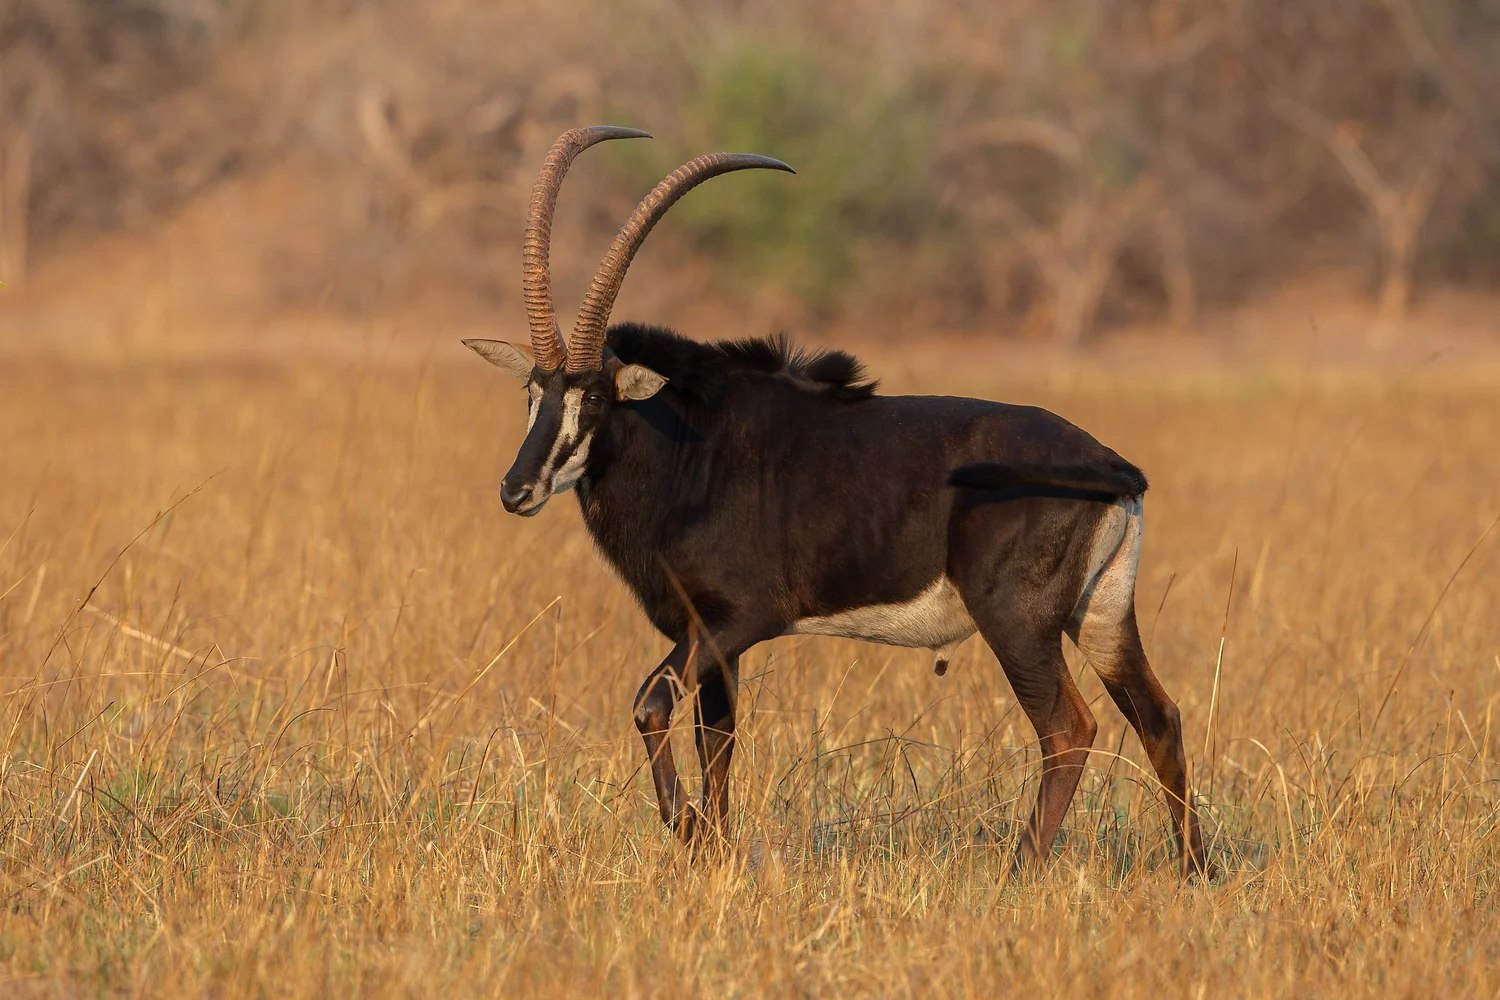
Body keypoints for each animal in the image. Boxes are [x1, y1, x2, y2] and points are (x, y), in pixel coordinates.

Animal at [463, 126, 1209, 876]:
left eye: (594, 397)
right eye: (533, 391)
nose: (515, 489)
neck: (691, 448)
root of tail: (1114, 466)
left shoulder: (741, 617)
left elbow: (652, 706)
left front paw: (690, 829)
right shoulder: (713, 637)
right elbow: (718, 737)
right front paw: (718, 852)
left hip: (1017, 621)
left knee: (1068, 726)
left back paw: (1020, 871)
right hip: (1102, 613)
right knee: (1159, 716)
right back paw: (1194, 870)